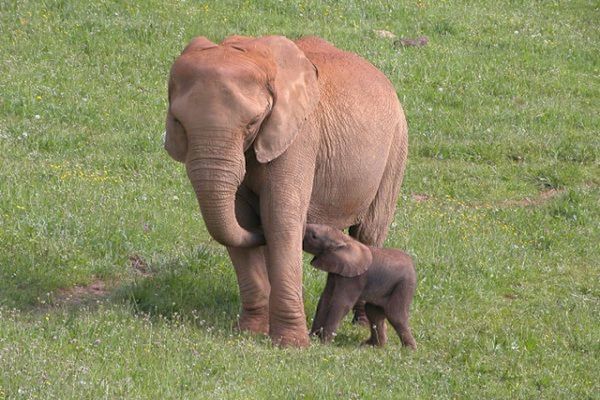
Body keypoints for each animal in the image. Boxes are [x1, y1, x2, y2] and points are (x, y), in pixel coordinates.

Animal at [164, 35, 408, 346]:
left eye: (252, 123)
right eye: (178, 122)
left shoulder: (299, 137)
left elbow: (280, 219)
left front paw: (291, 345)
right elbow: (240, 220)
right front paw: (251, 332)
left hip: (396, 147)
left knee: (369, 232)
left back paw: (361, 324)